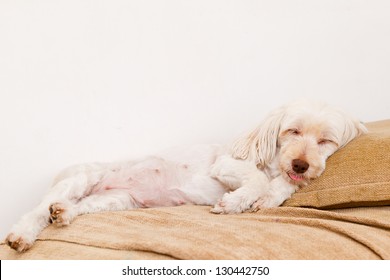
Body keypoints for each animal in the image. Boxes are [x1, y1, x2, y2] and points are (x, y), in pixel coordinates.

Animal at [5, 100, 366, 252]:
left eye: (325, 141)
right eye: (293, 131)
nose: (302, 165)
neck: (275, 161)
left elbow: (278, 188)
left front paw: (263, 200)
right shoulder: (227, 164)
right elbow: (258, 179)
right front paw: (234, 202)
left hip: (114, 200)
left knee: (75, 207)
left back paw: (63, 214)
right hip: (80, 179)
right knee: (35, 213)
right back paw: (22, 235)